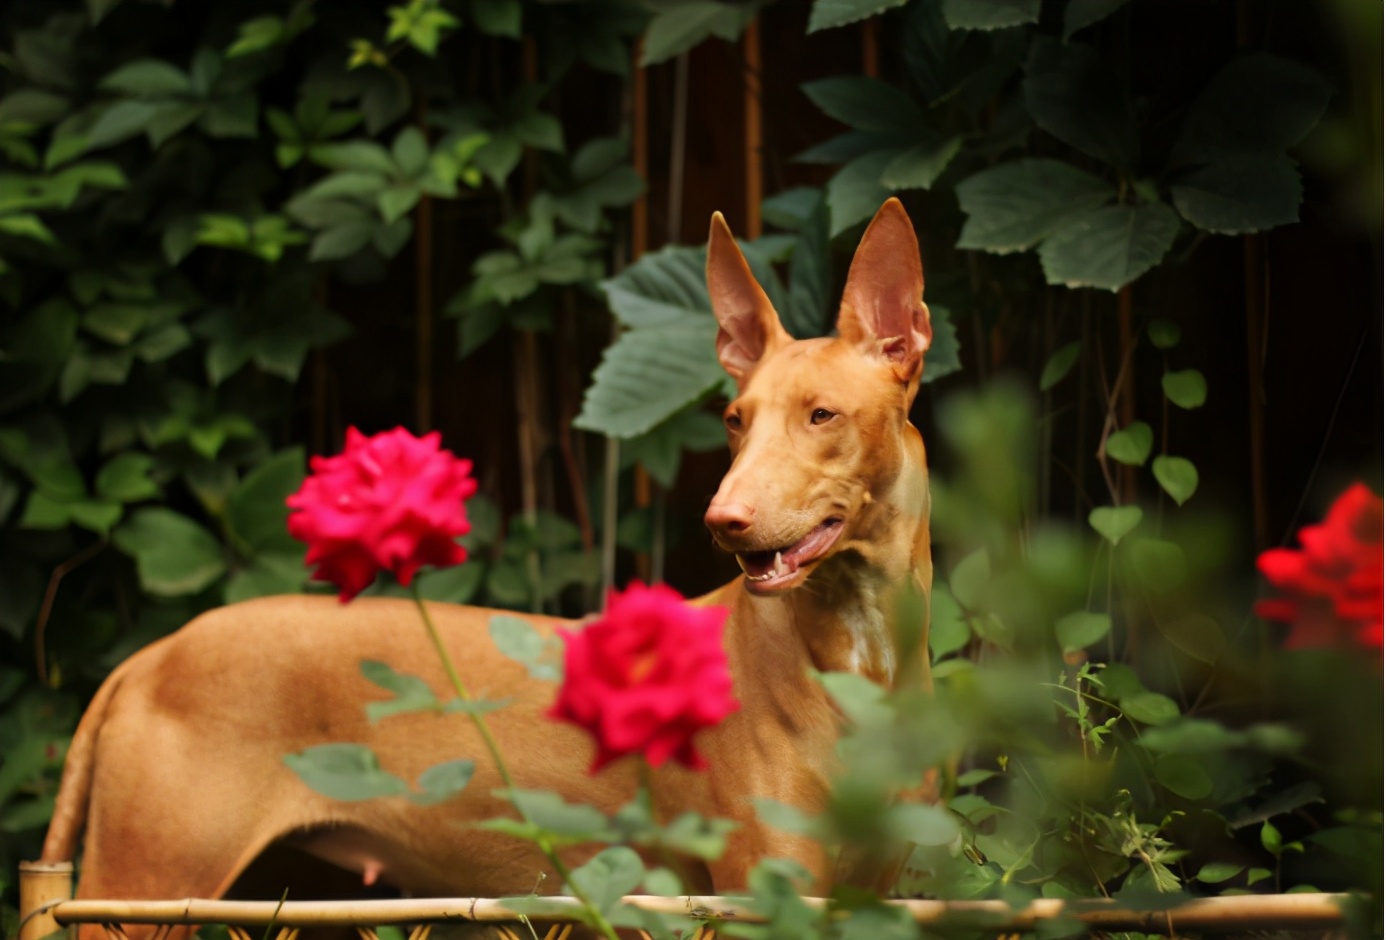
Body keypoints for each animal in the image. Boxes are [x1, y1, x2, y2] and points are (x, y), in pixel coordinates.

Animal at [35, 196, 931, 937]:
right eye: (735, 419)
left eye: (822, 415)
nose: (723, 520)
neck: (859, 660)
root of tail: (151, 657)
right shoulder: (762, 893)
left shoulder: (868, 895)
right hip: (143, 892)